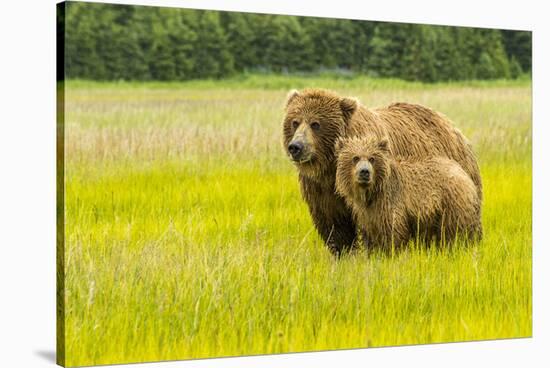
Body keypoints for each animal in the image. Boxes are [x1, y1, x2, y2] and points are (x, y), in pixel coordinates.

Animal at [336, 136, 484, 250]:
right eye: (355, 158)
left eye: (372, 158)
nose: (364, 172)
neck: (372, 193)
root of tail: (464, 173)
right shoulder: (368, 213)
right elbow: (371, 235)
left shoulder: (391, 202)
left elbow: (394, 232)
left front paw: (392, 252)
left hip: (451, 203)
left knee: (456, 231)